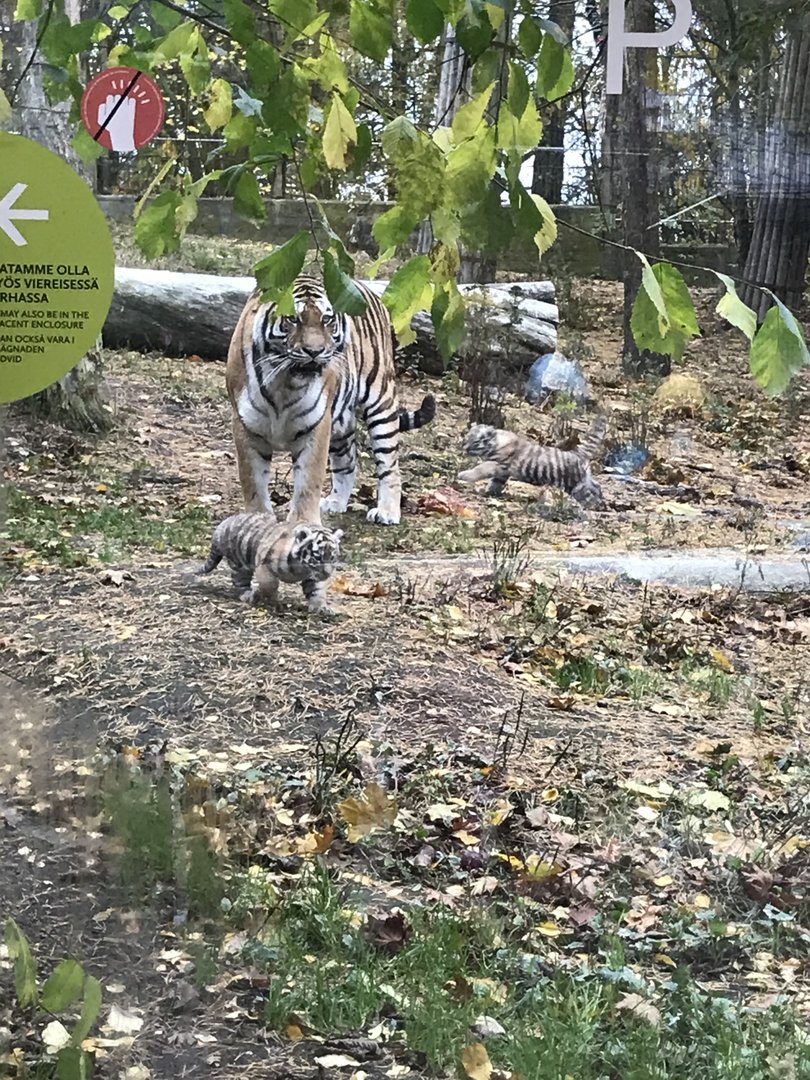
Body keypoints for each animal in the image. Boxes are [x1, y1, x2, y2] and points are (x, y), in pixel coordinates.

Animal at [197, 512, 343, 615]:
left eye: (332, 557)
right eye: (317, 557)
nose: (327, 574)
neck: (301, 568)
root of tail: (222, 525)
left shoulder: (312, 576)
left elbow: (316, 591)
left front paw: (321, 608)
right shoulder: (264, 566)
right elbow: (270, 586)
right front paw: (274, 603)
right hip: (239, 564)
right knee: (240, 582)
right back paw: (250, 595)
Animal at [226, 273, 436, 527]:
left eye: (326, 320)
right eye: (293, 319)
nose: (314, 351)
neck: (285, 383)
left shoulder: (316, 425)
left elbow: (308, 481)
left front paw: (304, 523)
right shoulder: (246, 426)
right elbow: (253, 483)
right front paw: (258, 522)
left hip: (381, 403)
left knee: (390, 464)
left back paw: (387, 511)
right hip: (341, 425)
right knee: (348, 462)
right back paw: (336, 502)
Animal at [457, 414, 608, 509]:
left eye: (475, 442)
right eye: (465, 439)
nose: (464, 448)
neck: (497, 442)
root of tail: (578, 453)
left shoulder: (497, 465)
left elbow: (480, 468)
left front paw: (464, 475)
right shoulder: (502, 472)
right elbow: (495, 483)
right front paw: (489, 492)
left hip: (576, 486)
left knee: (589, 494)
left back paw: (594, 505)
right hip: (584, 481)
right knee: (596, 486)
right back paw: (601, 503)